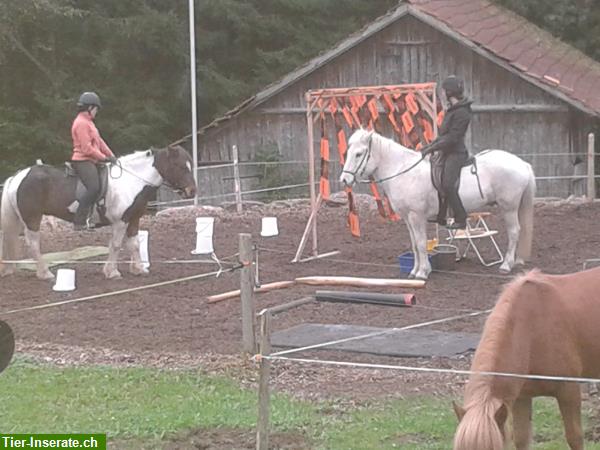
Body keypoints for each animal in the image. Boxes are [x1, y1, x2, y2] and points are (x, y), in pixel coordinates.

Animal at [340, 128, 536, 280]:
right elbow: (414, 244)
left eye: (358, 154)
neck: (403, 171)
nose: (344, 180)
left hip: (509, 208)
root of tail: (522, 163)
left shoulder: (417, 216)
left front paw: (422, 273)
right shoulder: (408, 218)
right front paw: (413, 271)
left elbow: (420, 243)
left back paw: (506, 265)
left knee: (514, 232)